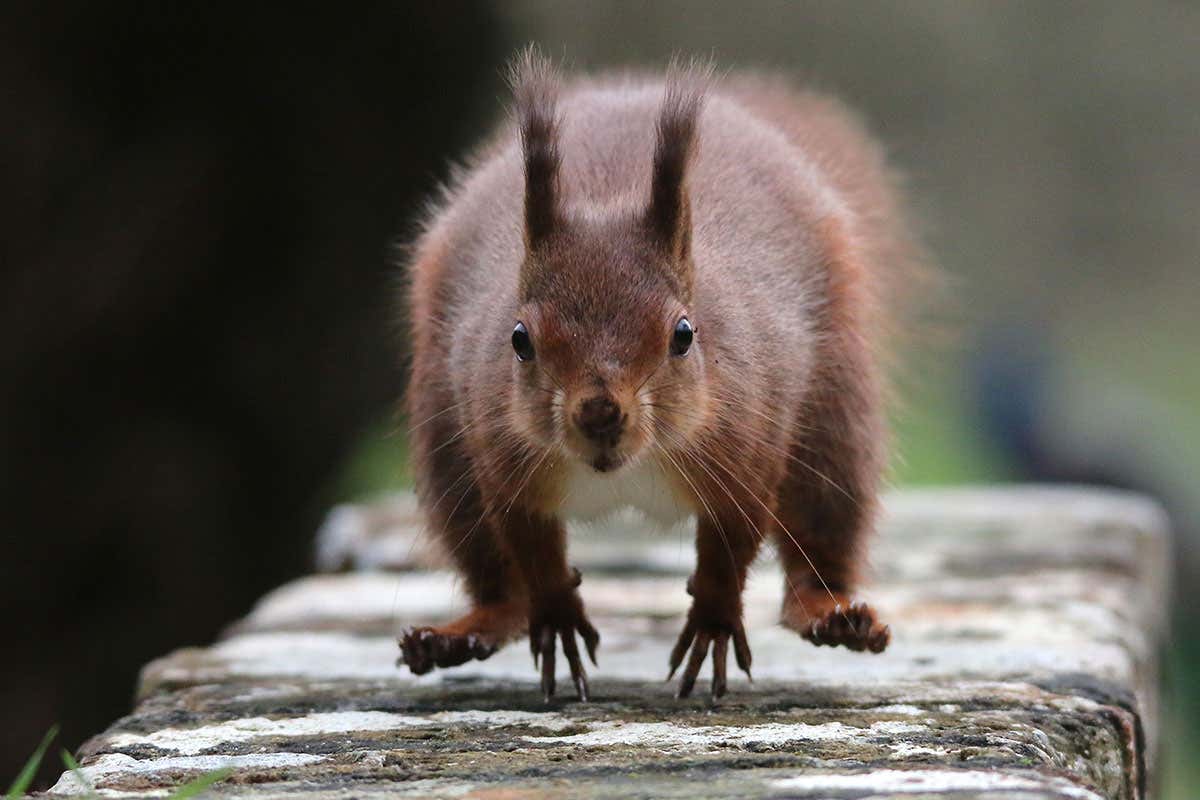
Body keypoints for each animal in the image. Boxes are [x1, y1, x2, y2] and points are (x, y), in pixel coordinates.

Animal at [400, 50, 926, 701]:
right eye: (519, 339)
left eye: (683, 334)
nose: (599, 412)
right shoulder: (501, 455)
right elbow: (530, 545)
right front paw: (558, 615)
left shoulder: (747, 446)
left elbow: (731, 543)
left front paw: (714, 622)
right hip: (445, 449)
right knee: (493, 575)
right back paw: (465, 632)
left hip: (835, 419)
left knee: (821, 533)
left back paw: (831, 614)